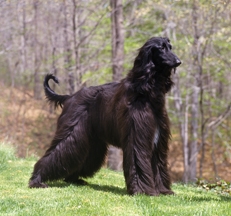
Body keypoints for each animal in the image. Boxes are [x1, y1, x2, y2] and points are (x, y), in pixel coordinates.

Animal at [28, 37, 180, 196]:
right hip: (72, 132)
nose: (178, 61)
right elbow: (137, 161)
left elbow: (158, 164)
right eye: (161, 48)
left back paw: (74, 179)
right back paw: (37, 180)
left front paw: (163, 190)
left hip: (92, 141)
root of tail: (70, 97)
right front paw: (142, 190)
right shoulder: (137, 135)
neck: (146, 91)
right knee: (56, 152)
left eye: (170, 47)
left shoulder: (157, 139)